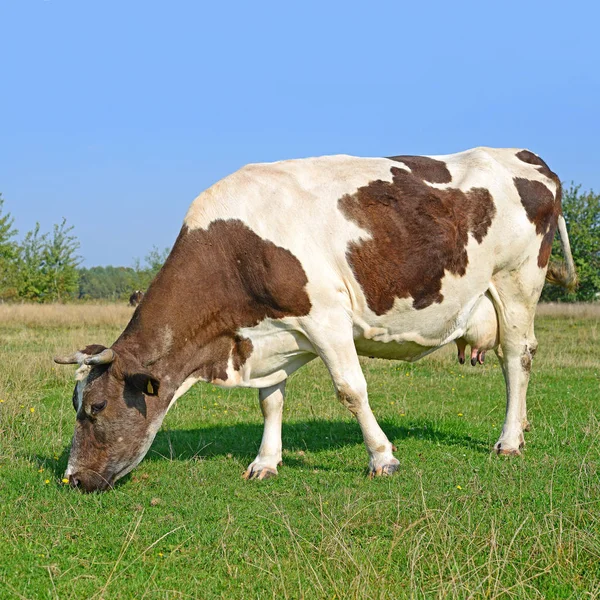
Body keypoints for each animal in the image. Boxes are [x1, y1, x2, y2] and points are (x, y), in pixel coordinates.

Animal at [55, 148, 576, 490]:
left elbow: (351, 390)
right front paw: (266, 462)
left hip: (517, 282)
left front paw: (382, 458)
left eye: (95, 407)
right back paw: (523, 426)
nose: (73, 479)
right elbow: (270, 401)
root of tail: (522, 154)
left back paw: (509, 439)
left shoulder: (326, 317)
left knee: (517, 359)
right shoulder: (271, 332)